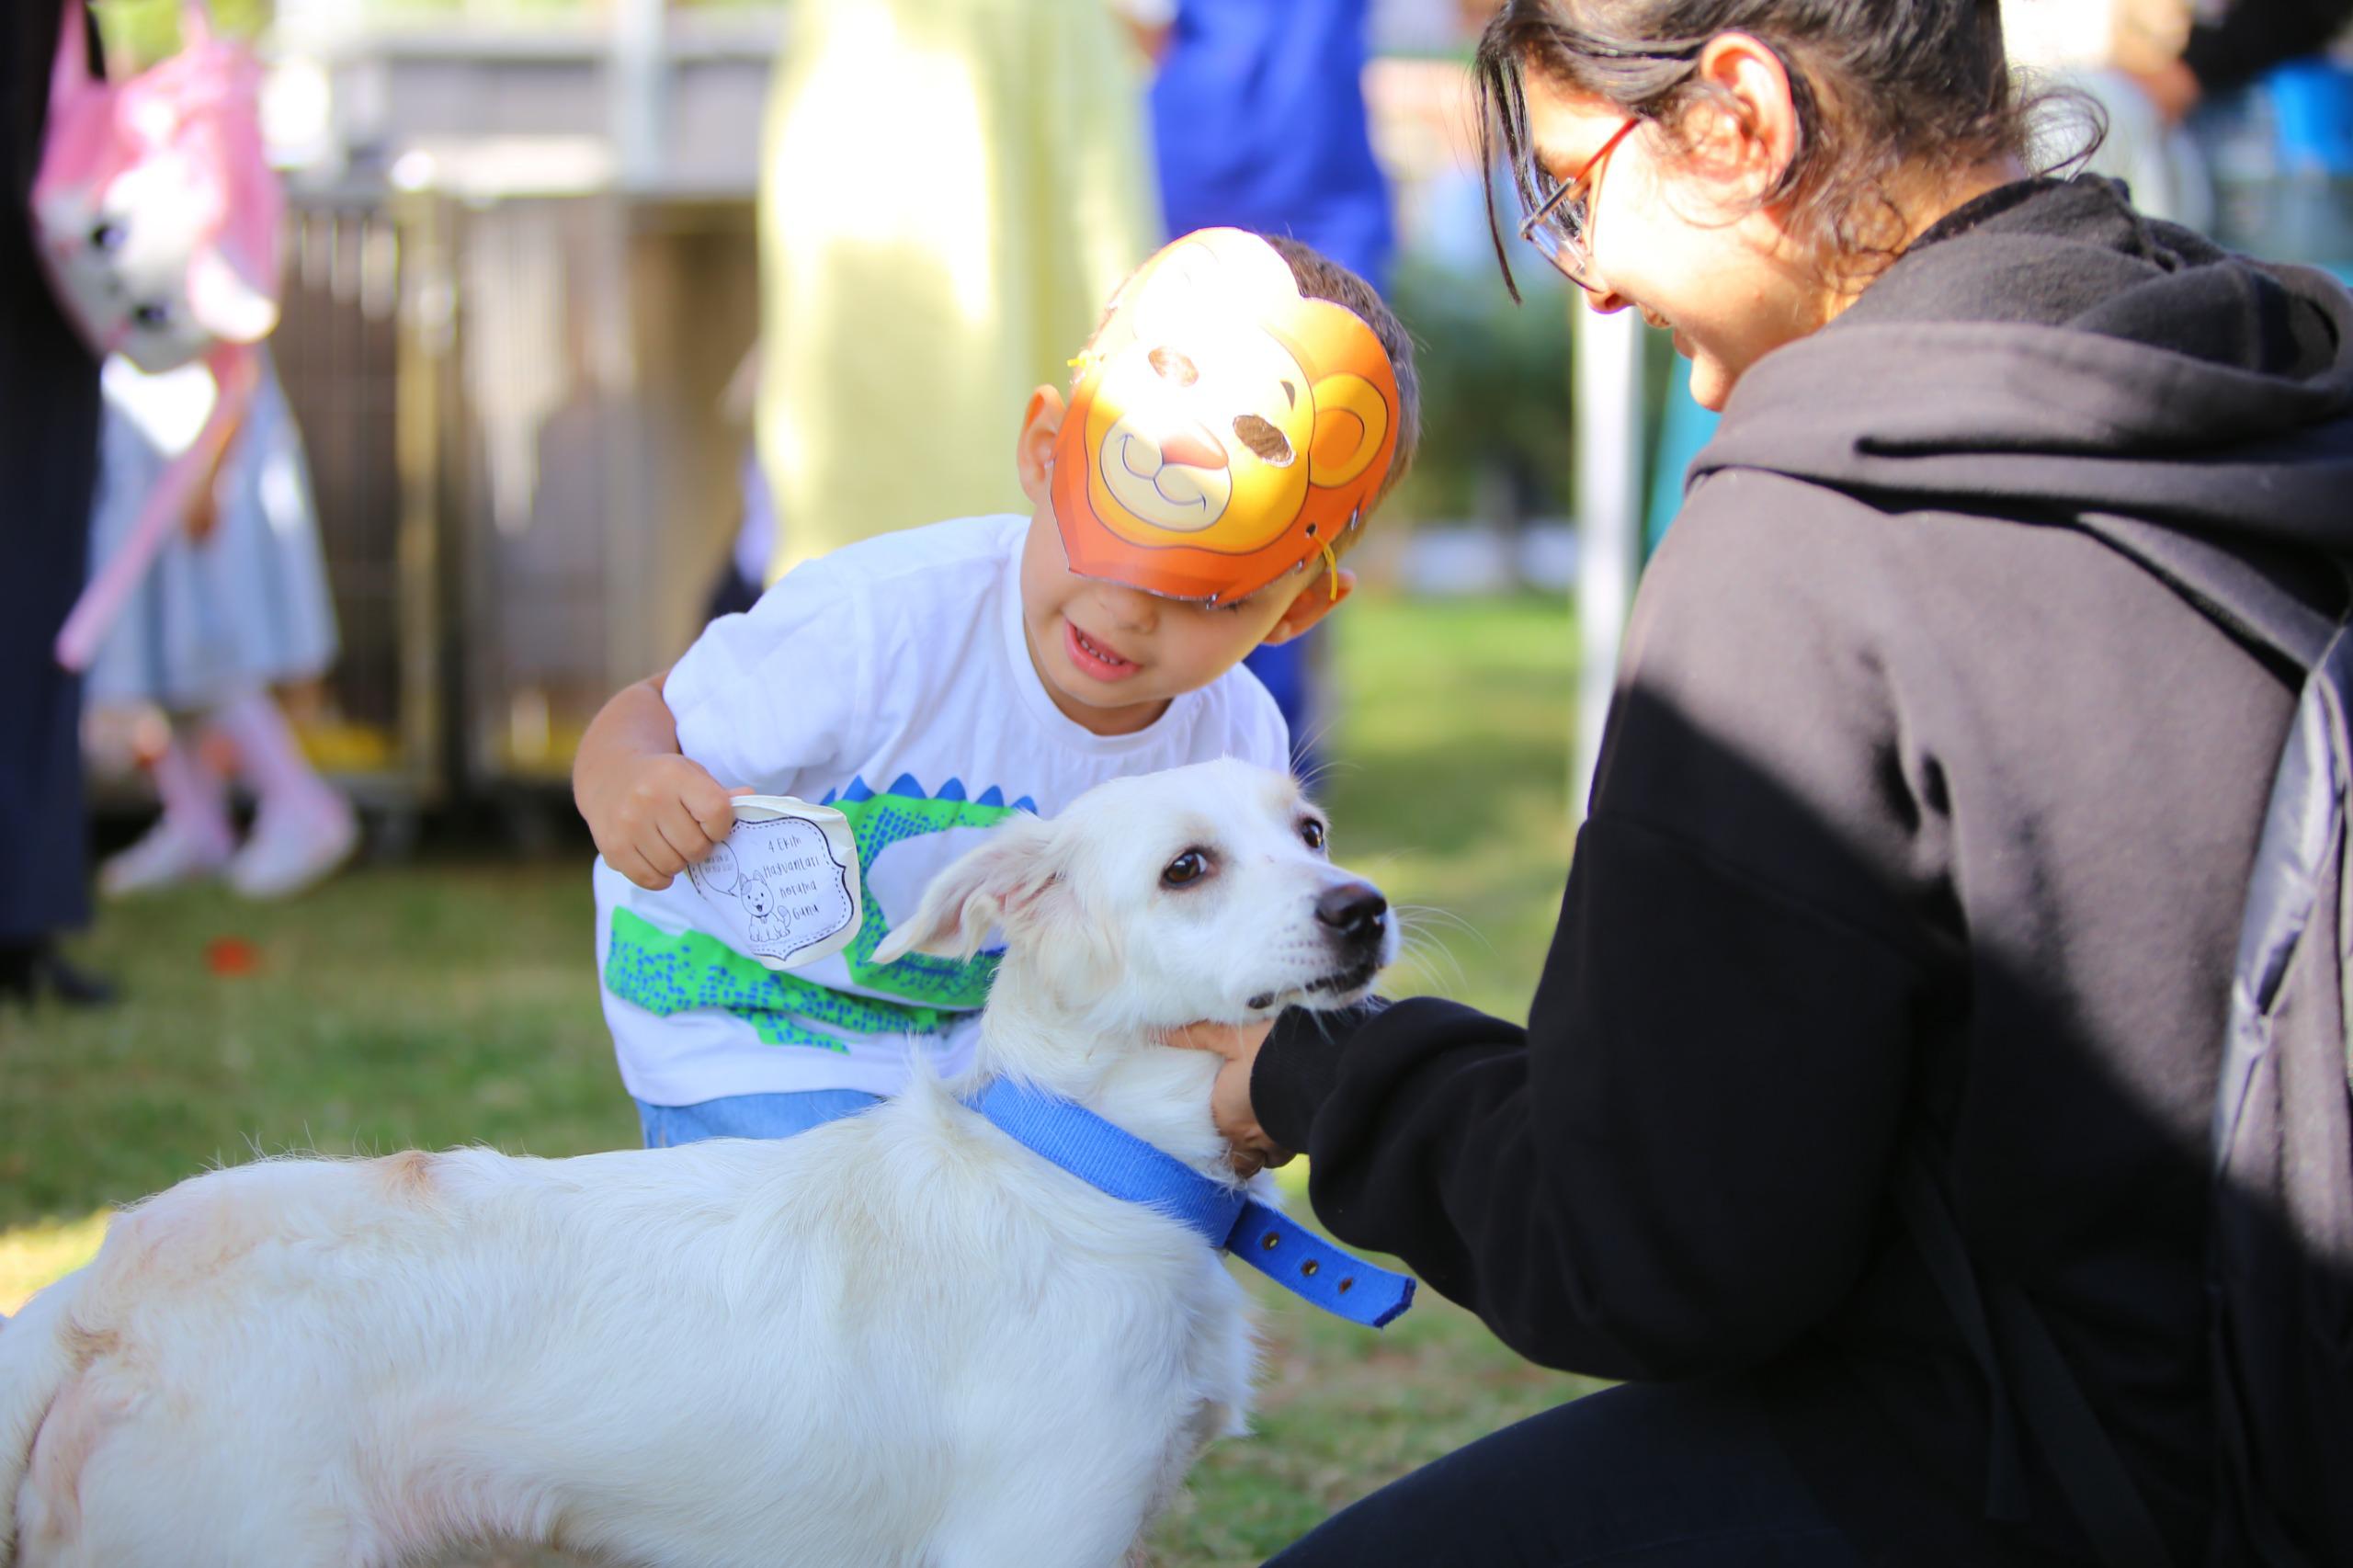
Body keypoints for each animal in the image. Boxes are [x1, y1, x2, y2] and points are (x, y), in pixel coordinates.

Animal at [0, 757, 1392, 1562]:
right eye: (1187, 868)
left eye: (1313, 829)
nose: (1365, 906)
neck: (1085, 1171)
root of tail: (100, 1290)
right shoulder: (1032, 1534)